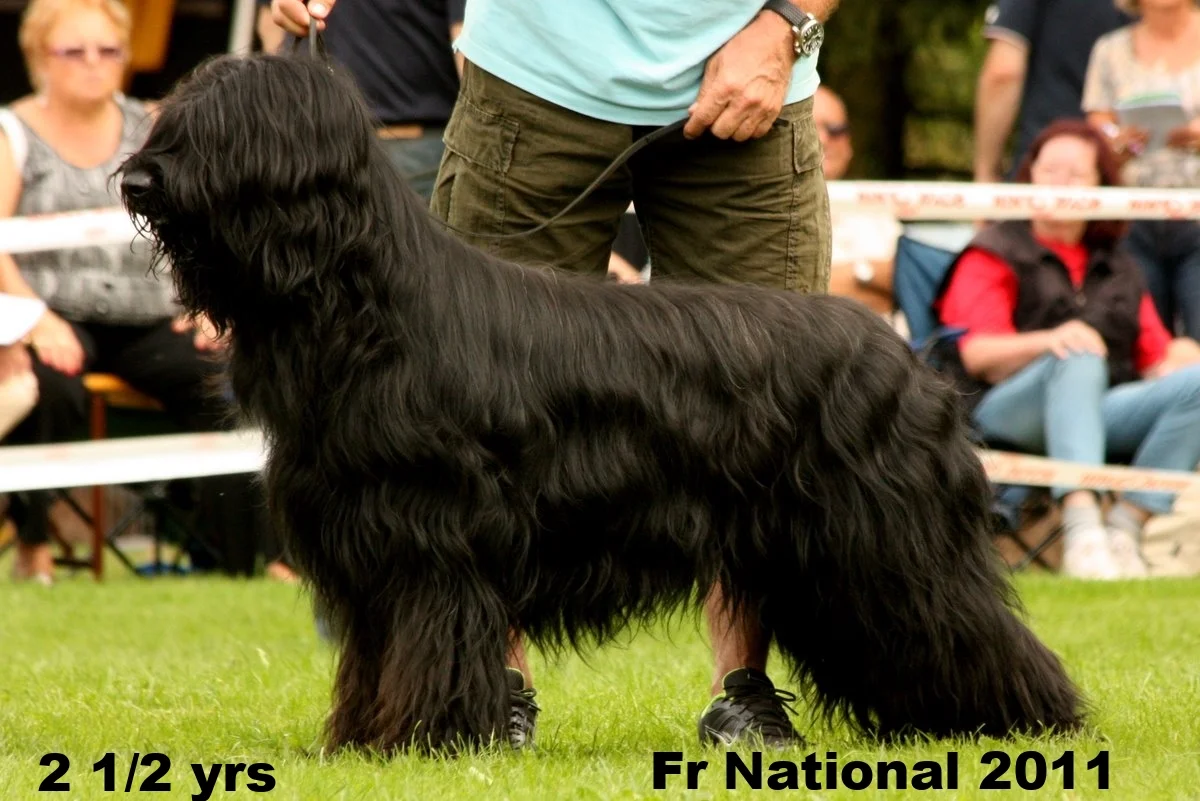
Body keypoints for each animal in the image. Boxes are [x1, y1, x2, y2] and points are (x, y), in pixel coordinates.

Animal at [119, 54, 1084, 754]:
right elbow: (376, 657)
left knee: (962, 622)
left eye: (226, 129)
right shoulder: (370, 537)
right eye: (177, 115)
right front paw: (364, 741)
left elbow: (429, 643)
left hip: (884, 542)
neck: (364, 303)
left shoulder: (433, 537)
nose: (134, 182)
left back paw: (1027, 719)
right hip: (821, 554)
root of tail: (906, 352)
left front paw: (426, 739)